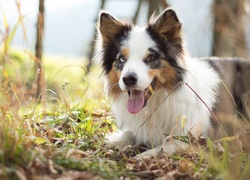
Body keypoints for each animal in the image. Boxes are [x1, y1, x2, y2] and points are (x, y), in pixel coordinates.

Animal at [95, 8, 250, 158]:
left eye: (151, 57)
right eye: (122, 59)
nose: (128, 79)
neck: (158, 101)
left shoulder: (191, 136)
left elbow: (164, 145)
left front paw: (141, 157)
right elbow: (129, 133)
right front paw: (114, 141)